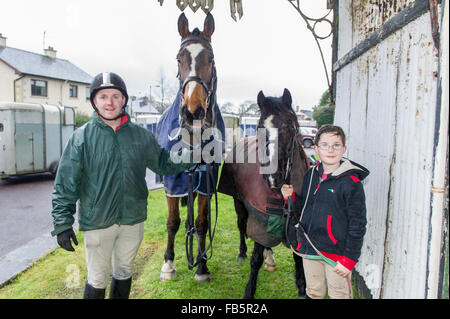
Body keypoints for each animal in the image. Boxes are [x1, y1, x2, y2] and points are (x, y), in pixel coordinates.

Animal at [218, 89, 310, 298]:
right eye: (259, 127)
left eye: (288, 126)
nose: (272, 177)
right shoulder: (259, 218)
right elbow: (255, 259)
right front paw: (249, 290)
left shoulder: (295, 221)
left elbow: (298, 256)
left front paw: (302, 287)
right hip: (239, 205)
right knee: (241, 227)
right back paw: (242, 252)